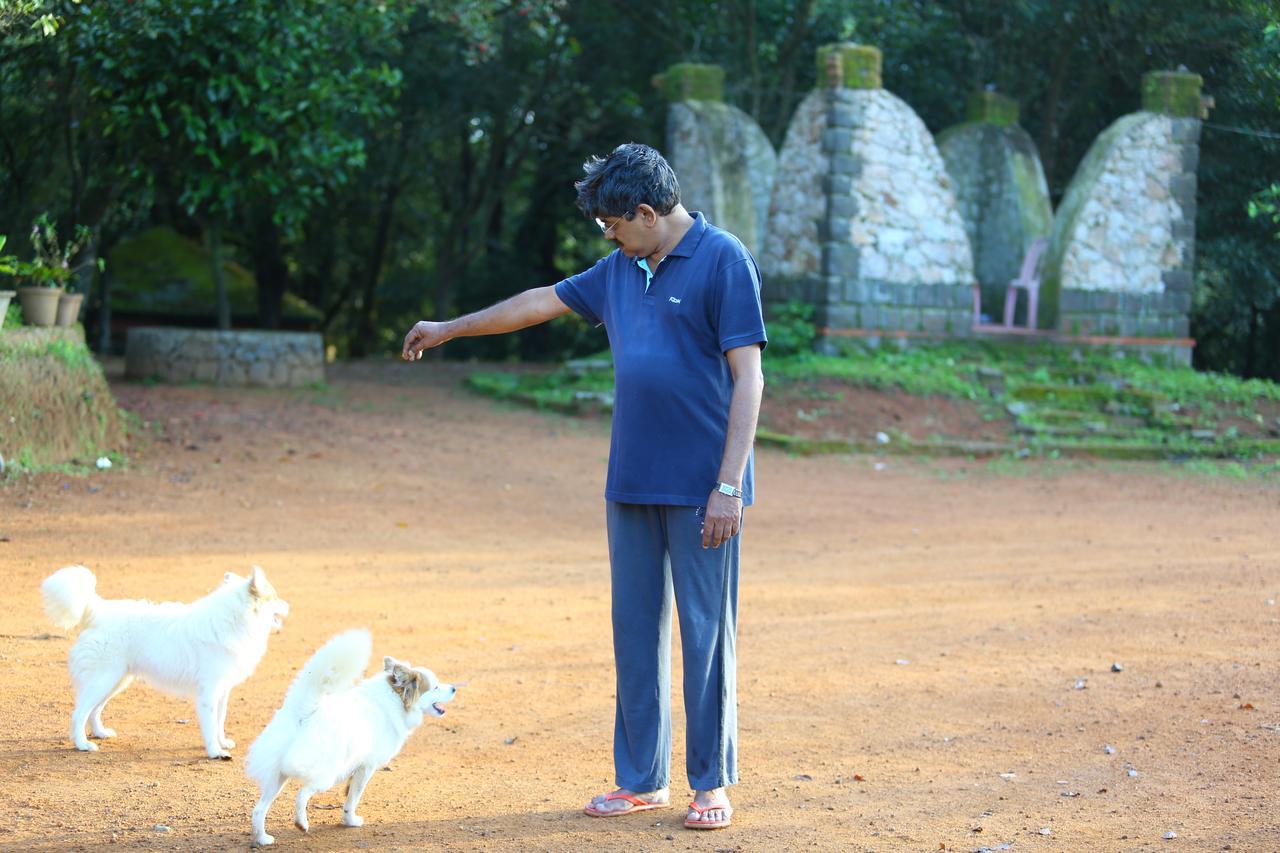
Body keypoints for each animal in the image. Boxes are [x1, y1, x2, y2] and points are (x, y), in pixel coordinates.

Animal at [41, 563, 290, 758]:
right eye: (274, 597)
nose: (290, 605)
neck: (234, 620)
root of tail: (99, 611)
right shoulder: (208, 693)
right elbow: (210, 726)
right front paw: (215, 752)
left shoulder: (222, 691)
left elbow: (219, 721)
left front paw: (223, 742)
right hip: (104, 680)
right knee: (79, 713)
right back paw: (82, 744)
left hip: (116, 681)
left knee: (94, 710)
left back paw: (100, 733)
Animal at [244, 625, 455, 845]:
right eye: (435, 686)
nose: (454, 688)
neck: (394, 698)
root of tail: (306, 709)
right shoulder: (366, 767)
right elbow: (353, 798)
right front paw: (350, 821)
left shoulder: (356, 767)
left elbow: (349, 793)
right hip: (326, 774)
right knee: (302, 794)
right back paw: (301, 823)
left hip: (277, 776)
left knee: (258, 810)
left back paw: (262, 839)